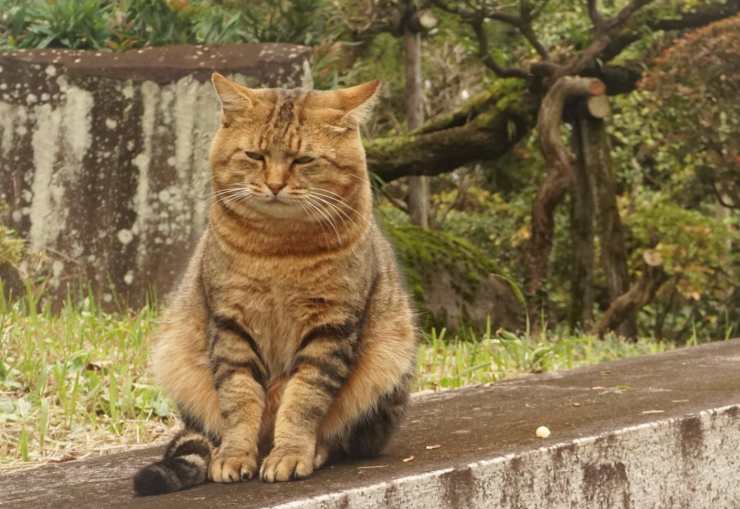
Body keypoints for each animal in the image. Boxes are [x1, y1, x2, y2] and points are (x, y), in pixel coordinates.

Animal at [134, 73, 420, 494]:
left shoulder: (330, 327)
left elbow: (302, 400)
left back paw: (313, 449)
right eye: (255, 156)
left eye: (303, 160)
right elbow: (239, 399)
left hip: (387, 360)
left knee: (343, 437)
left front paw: (290, 452)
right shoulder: (231, 323)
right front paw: (236, 455)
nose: (273, 185)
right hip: (176, 356)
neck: (279, 249)